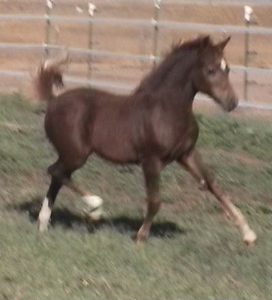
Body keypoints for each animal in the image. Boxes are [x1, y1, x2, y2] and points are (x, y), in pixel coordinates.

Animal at [34, 36, 258, 245]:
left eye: (227, 68)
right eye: (210, 70)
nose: (232, 102)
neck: (167, 110)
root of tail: (53, 101)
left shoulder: (186, 154)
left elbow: (213, 185)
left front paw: (248, 234)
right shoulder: (151, 160)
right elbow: (155, 200)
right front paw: (141, 236)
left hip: (71, 155)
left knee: (58, 176)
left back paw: (44, 223)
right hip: (76, 154)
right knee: (55, 171)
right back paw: (94, 207)